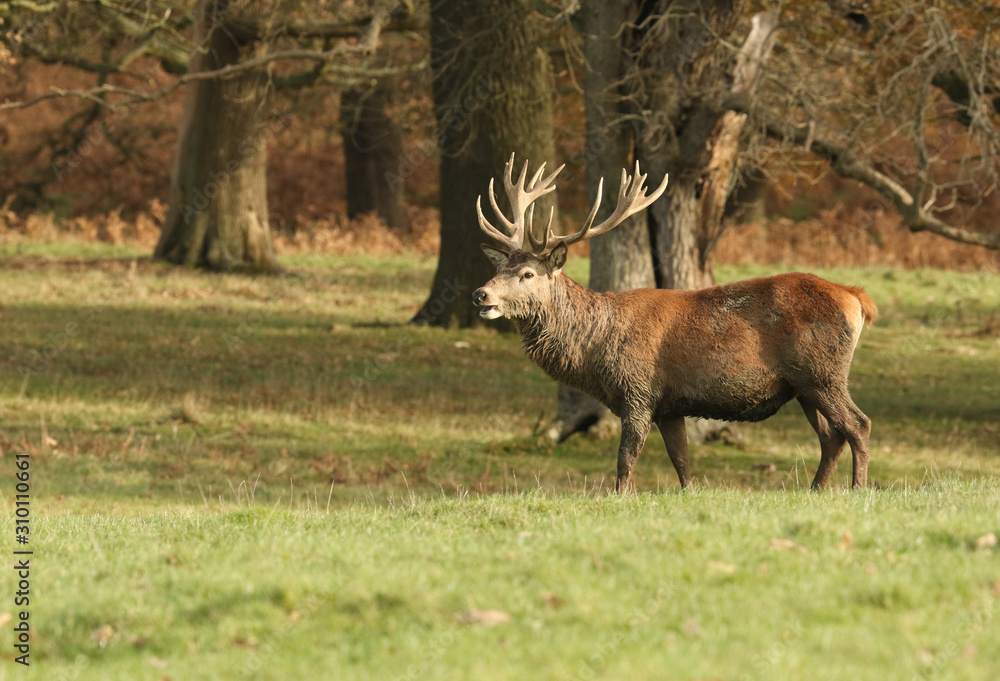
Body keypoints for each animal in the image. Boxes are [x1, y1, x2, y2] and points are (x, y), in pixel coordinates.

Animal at [472, 154, 877, 492]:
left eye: (527, 274)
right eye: (500, 268)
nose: (481, 294)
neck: (596, 349)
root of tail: (858, 298)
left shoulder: (638, 390)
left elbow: (626, 459)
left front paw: (619, 498)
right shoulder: (670, 406)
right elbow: (681, 461)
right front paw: (690, 494)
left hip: (823, 371)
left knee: (858, 424)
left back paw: (857, 489)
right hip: (803, 384)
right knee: (831, 436)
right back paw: (816, 489)